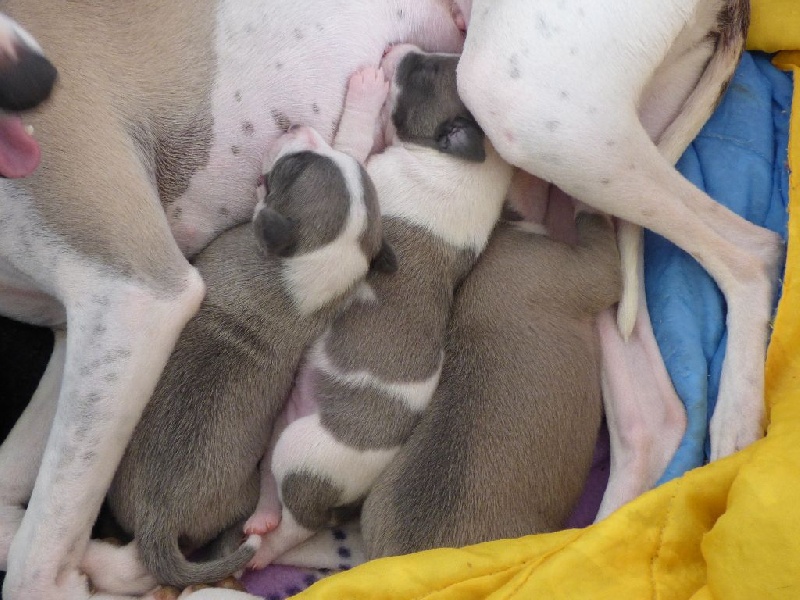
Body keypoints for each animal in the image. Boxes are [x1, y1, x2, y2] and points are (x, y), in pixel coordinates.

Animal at [244, 45, 516, 568]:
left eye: (421, 71)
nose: (400, 48)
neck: (467, 165)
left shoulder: (364, 179)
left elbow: (349, 142)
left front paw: (368, 88)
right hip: (281, 434)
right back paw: (261, 519)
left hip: (301, 451)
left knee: (297, 522)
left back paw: (265, 549)